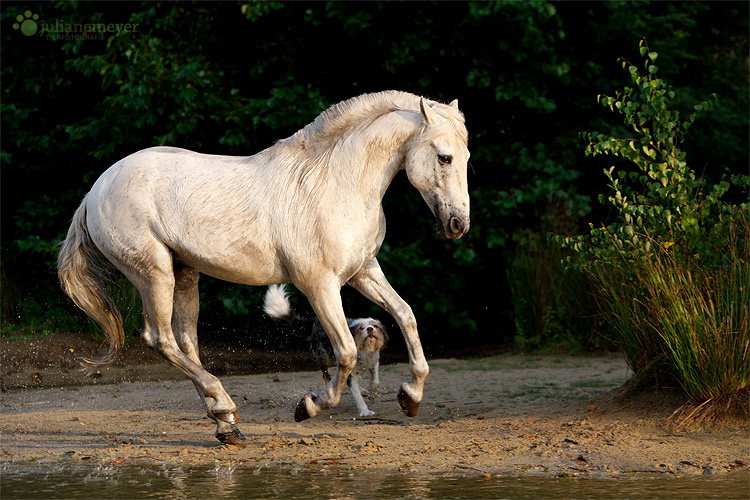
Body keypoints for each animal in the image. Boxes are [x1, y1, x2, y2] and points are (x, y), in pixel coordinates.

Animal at [262, 284, 390, 416]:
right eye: (361, 328)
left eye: (375, 326)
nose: (369, 329)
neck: (365, 351)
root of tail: (315, 321)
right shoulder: (352, 372)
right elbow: (356, 394)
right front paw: (365, 411)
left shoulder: (373, 363)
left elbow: (376, 380)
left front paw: (372, 395)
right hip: (324, 357)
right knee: (326, 376)